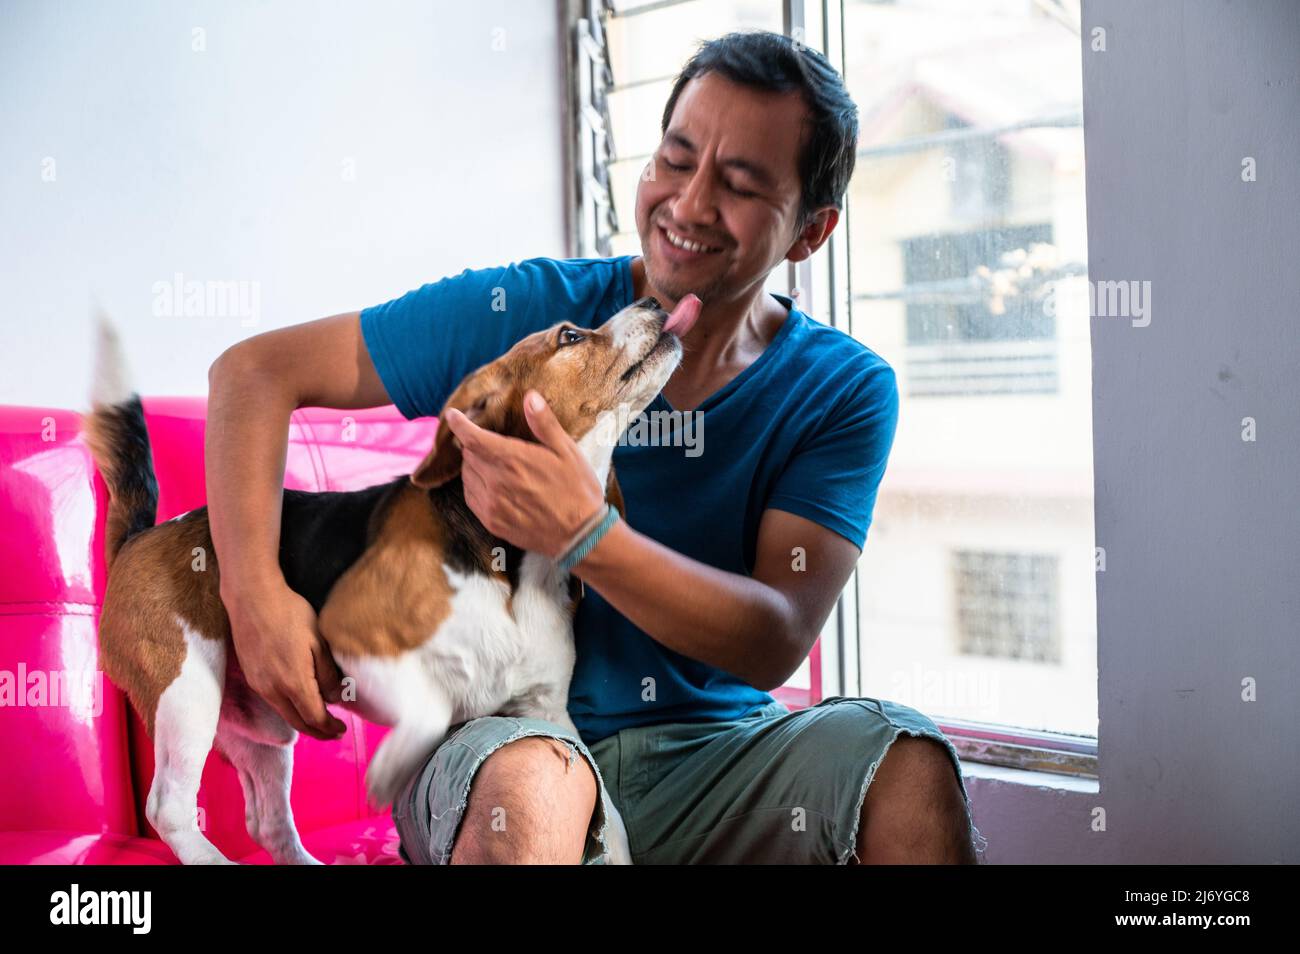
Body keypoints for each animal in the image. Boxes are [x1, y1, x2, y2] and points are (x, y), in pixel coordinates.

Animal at [83, 293, 702, 868]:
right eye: (570, 336)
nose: (653, 300)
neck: (514, 567)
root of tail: (141, 536)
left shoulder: (547, 710)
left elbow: (612, 820)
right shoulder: (353, 636)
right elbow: (430, 710)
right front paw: (385, 773)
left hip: (264, 727)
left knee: (267, 821)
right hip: (189, 689)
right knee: (168, 804)